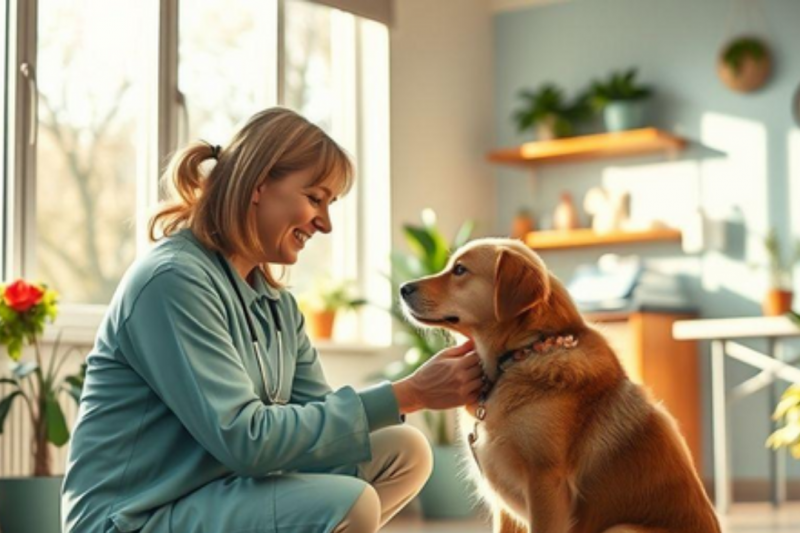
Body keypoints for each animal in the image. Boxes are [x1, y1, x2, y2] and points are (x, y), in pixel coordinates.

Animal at [400, 238, 720, 532]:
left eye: (460, 270)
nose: (403, 288)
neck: (522, 353)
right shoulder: (503, 505)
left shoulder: (545, 483)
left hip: (621, 528)